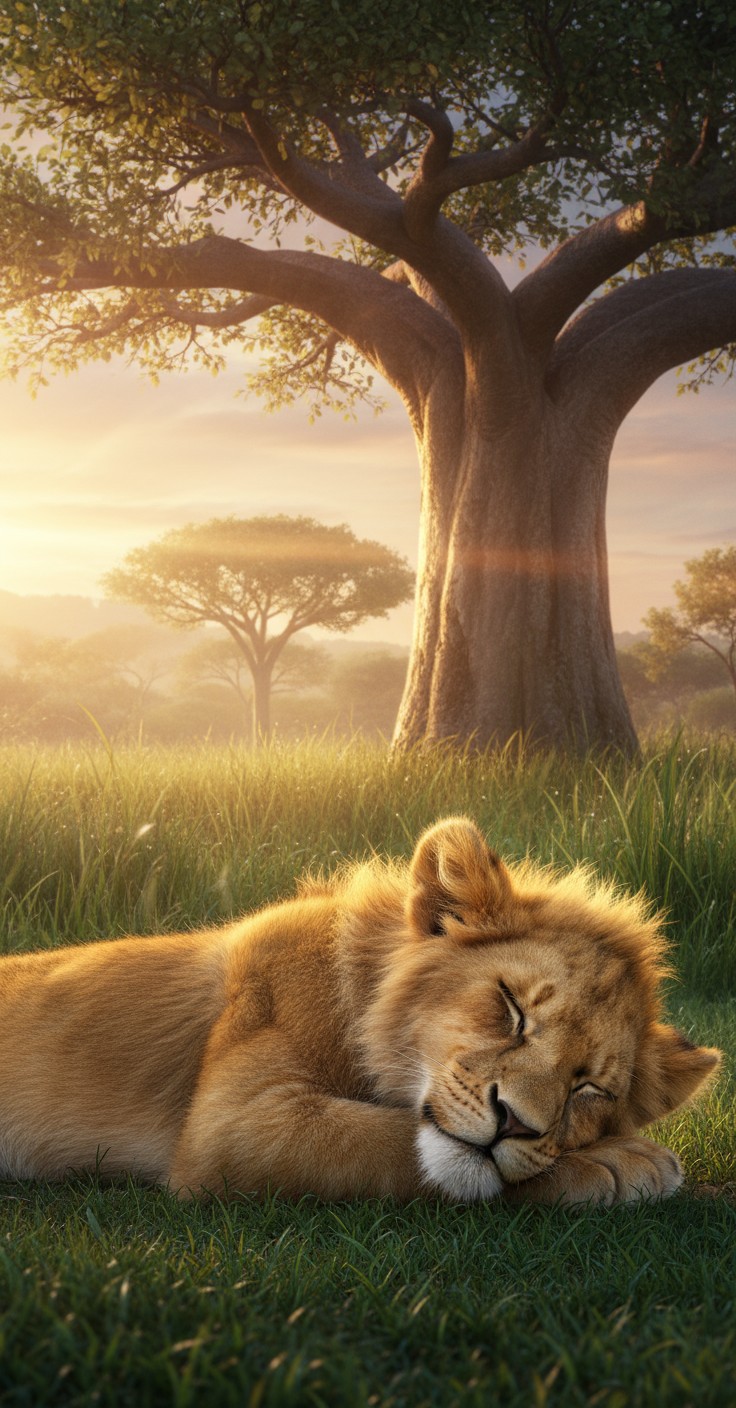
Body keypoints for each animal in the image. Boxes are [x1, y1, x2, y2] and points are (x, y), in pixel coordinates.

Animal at [0, 817, 720, 1205]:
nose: (516, 1124)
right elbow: (385, 1138)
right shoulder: (232, 1127)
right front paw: (622, 1161)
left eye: (589, 1086)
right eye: (512, 1008)